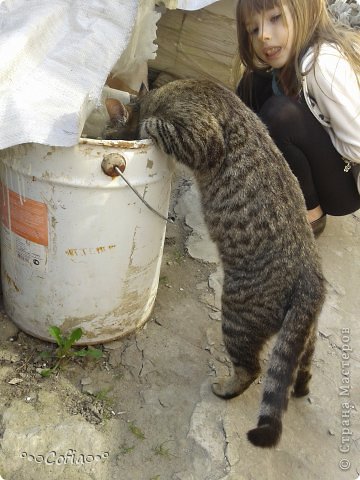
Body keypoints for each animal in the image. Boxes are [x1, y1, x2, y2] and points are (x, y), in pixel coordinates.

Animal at [105, 80, 326, 448]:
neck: (162, 95)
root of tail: (313, 279)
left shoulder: (203, 138)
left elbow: (156, 125)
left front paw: (148, 125)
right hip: (303, 335)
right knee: (301, 366)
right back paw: (299, 386)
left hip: (238, 315)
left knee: (252, 369)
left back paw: (226, 387)